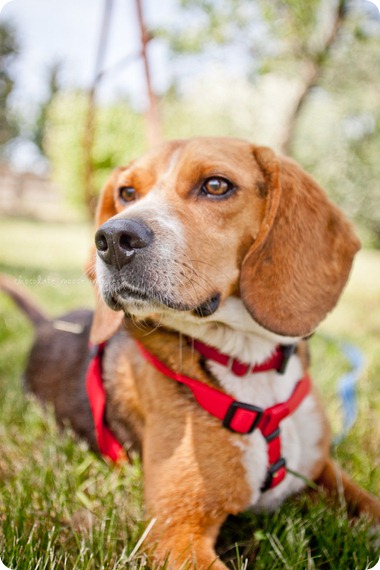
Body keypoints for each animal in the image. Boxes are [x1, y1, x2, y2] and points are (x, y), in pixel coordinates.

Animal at [5, 138, 378, 568]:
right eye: (127, 193)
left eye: (216, 185)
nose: (112, 239)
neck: (250, 364)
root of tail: (47, 323)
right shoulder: (176, 532)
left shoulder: (324, 471)